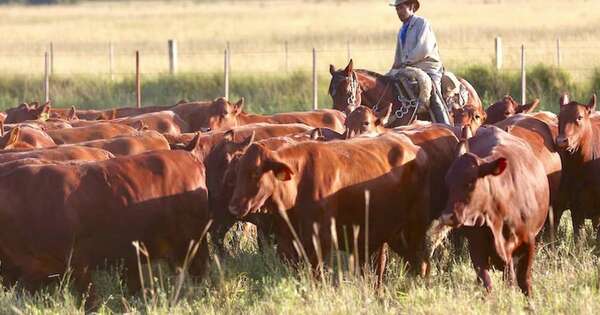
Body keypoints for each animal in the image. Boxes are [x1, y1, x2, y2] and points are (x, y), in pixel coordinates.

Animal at [227, 132, 428, 286]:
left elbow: (315, 277)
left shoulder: (319, 242)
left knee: (421, 264)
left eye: (254, 173)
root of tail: (414, 148)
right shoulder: (286, 243)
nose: (234, 207)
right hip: (388, 235)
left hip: (411, 230)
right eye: (237, 173)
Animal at [434, 126, 552, 296]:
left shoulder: (529, 242)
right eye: (447, 182)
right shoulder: (476, 246)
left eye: (470, 182)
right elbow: (488, 282)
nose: (447, 216)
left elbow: (523, 280)